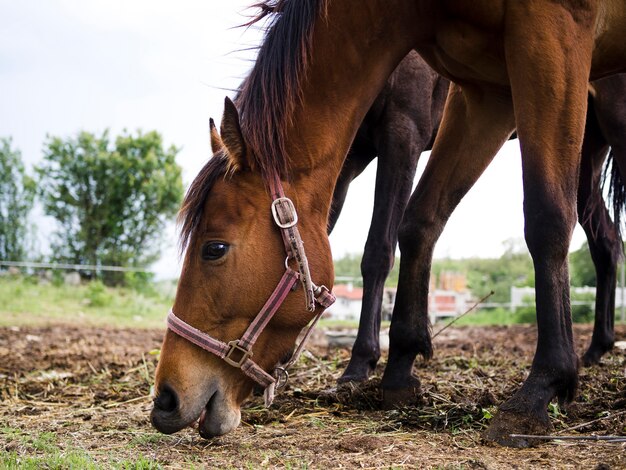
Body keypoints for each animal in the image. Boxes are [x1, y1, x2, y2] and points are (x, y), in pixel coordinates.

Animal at [330, 55, 620, 384]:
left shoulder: (402, 135)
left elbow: (377, 251)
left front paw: (360, 361)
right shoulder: (347, 155)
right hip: (582, 152)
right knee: (607, 243)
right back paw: (597, 348)